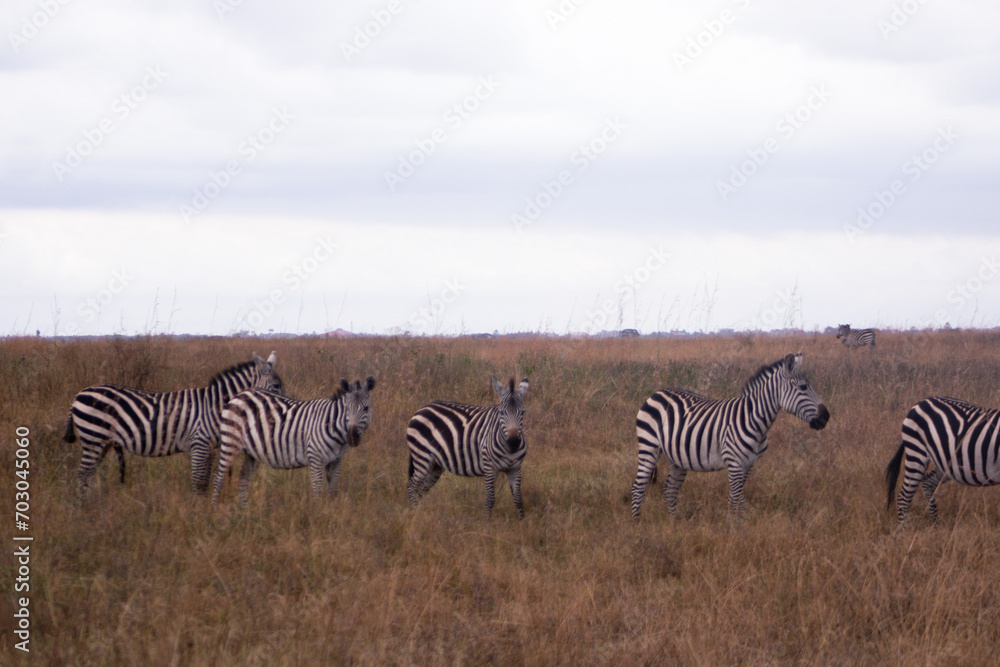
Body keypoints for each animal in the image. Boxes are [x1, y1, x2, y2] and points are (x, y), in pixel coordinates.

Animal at [64, 351, 283, 495]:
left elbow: (205, 481)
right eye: (276, 387)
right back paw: (85, 511)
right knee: (83, 474)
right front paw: (199, 515)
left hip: (101, 442)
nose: (282, 410)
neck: (216, 405)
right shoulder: (199, 443)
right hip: (93, 436)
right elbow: (199, 482)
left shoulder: (211, 447)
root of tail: (78, 395)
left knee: (88, 475)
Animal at [211, 376, 376, 507]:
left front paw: (333, 511)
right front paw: (318, 516)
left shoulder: (336, 460)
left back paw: (244, 510)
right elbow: (317, 489)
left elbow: (333, 489)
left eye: (366, 408)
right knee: (218, 477)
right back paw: (214, 510)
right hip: (230, 442)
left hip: (250, 451)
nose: (352, 437)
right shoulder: (315, 458)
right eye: (347, 409)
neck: (332, 426)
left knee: (243, 477)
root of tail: (240, 394)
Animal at [406, 376, 530, 519]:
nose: (514, 442)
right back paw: (414, 513)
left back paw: (421, 512)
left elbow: (518, 499)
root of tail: (422, 409)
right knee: (412, 486)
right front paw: (487, 523)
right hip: (422, 456)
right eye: (501, 412)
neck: (508, 449)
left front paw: (521, 522)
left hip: (435, 464)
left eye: (523, 412)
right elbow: (490, 499)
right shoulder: (489, 468)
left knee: (422, 488)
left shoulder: (515, 469)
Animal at [631, 353, 829, 521]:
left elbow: (737, 497)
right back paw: (637, 525)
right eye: (803, 387)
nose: (826, 417)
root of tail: (657, 393)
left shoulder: (748, 464)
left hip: (677, 458)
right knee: (638, 487)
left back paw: (675, 523)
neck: (753, 420)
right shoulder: (734, 463)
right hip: (649, 446)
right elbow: (737, 499)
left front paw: (737, 526)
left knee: (670, 489)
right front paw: (734, 529)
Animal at [886, 396, 1000, 525]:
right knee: (904, 497)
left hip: (945, 463)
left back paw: (934, 525)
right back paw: (903, 529)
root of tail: (920, 402)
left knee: (927, 482)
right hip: (916, 452)